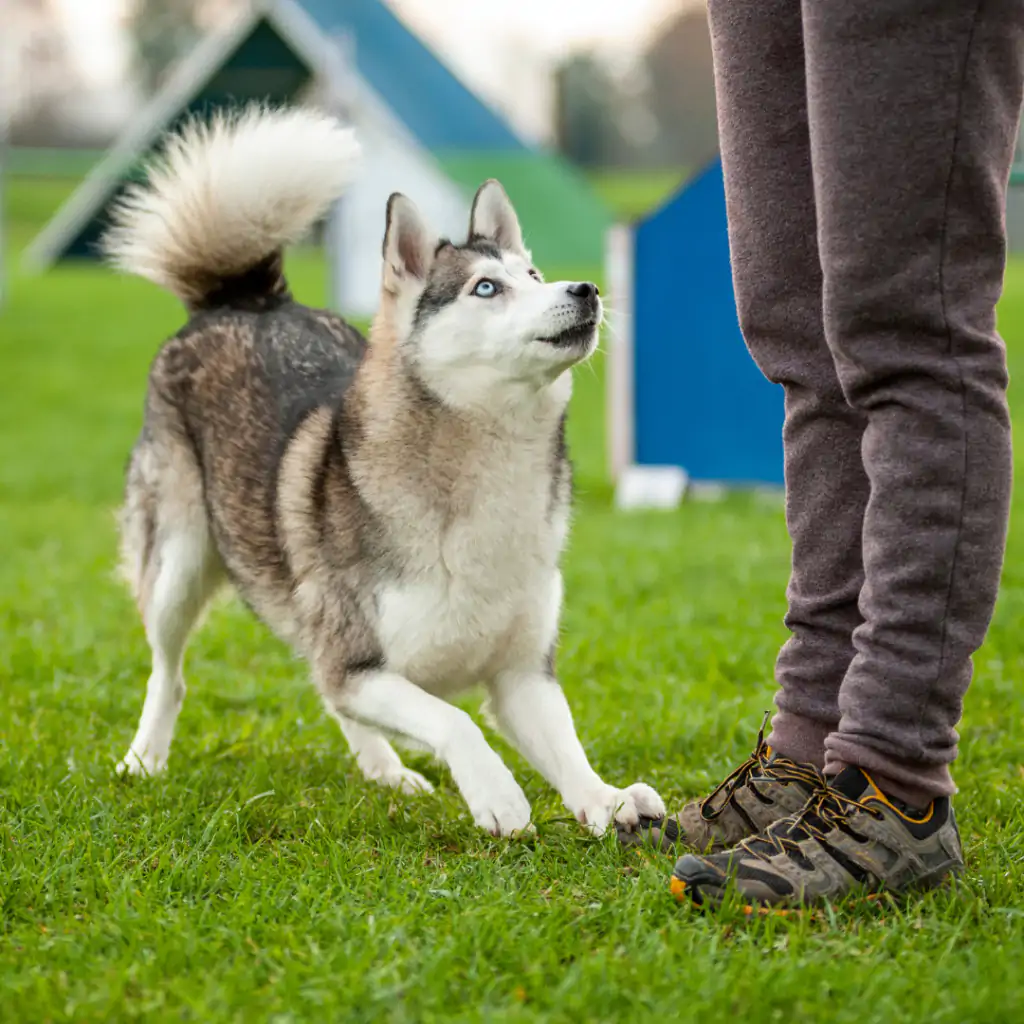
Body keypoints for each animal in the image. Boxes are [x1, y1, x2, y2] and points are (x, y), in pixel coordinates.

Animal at [103, 103, 663, 835]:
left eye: (536, 277)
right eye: (488, 288)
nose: (588, 288)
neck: (487, 475)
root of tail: (245, 301)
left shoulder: (520, 675)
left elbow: (565, 746)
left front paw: (607, 798)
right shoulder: (359, 664)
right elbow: (454, 720)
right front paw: (499, 795)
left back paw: (387, 772)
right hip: (177, 565)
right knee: (169, 675)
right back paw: (143, 761)